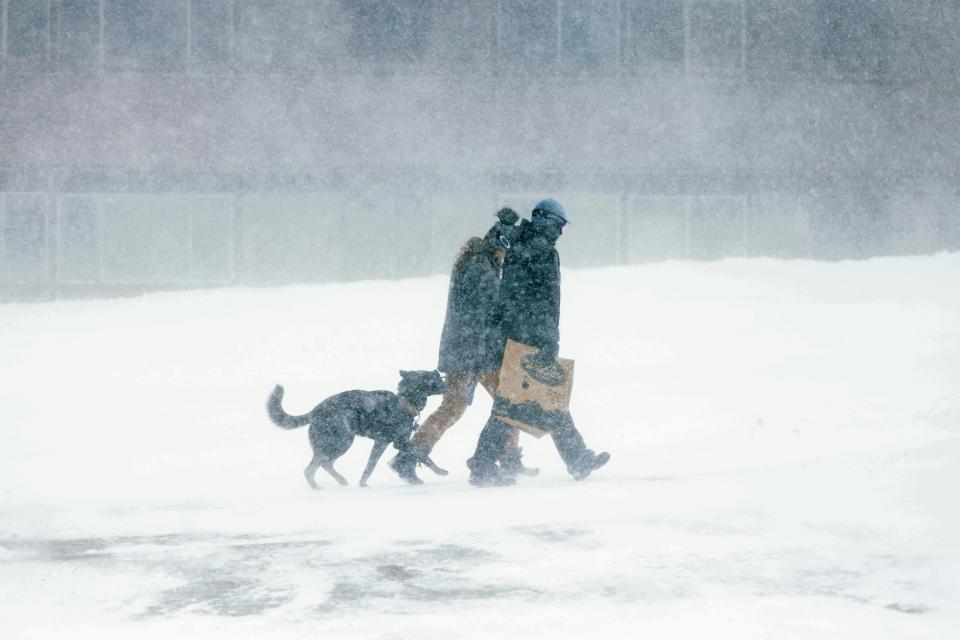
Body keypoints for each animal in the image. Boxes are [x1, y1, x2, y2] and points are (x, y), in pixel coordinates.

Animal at [266, 370, 450, 490]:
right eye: (433, 376)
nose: (447, 382)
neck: (404, 401)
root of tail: (314, 411)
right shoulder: (399, 442)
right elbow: (422, 455)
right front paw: (440, 471)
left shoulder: (383, 442)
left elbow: (370, 465)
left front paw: (363, 483)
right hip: (341, 441)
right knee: (312, 468)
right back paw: (319, 487)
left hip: (337, 443)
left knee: (324, 464)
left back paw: (340, 482)